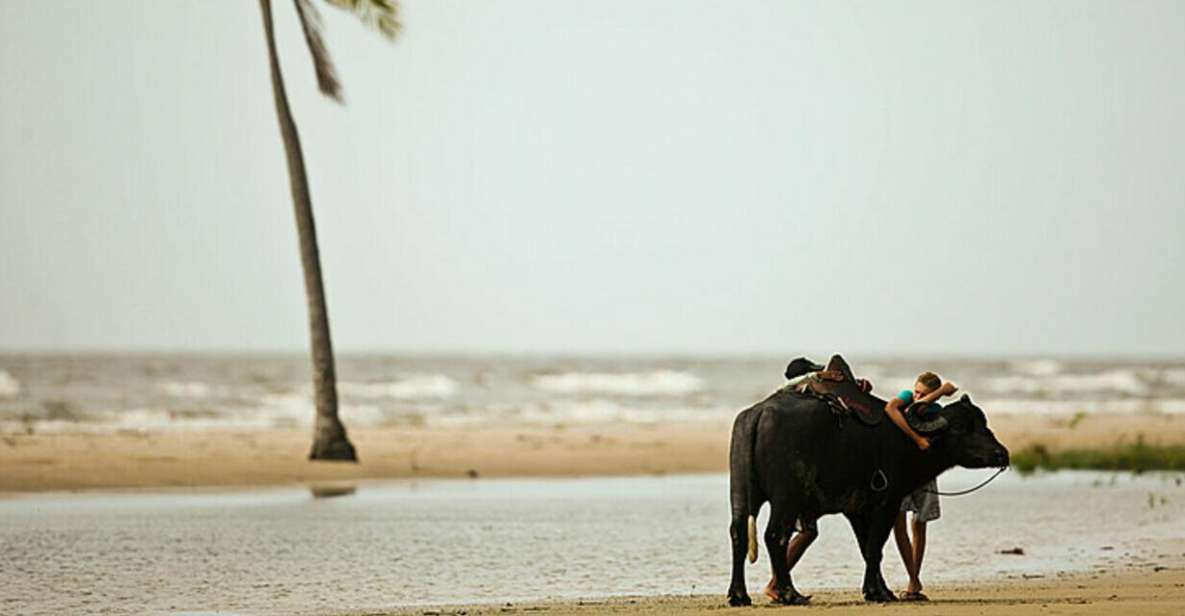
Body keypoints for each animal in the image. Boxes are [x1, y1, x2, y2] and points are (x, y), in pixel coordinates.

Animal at [720, 388, 1009, 604]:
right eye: (962, 428)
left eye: (984, 424)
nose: (1001, 454)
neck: (908, 440)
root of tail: (759, 412)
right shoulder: (887, 503)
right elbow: (874, 547)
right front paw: (877, 592)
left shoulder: (857, 510)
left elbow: (867, 547)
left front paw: (880, 590)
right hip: (786, 500)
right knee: (775, 536)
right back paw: (790, 594)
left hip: (741, 495)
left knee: (738, 533)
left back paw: (739, 595)